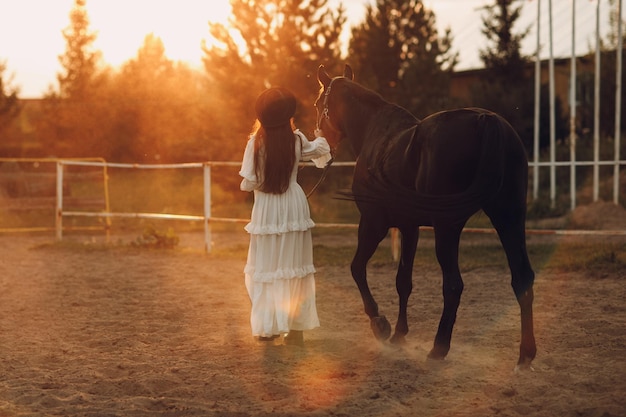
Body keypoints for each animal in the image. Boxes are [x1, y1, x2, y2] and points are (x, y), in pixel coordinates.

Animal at [314, 64, 532, 368]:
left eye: (317, 104)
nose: (321, 141)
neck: (376, 135)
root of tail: (488, 121)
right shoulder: (410, 227)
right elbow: (403, 281)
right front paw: (399, 334)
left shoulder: (373, 224)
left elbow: (357, 268)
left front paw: (380, 324)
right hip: (508, 218)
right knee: (522, 277)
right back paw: (525, 355)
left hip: (447, 227)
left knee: (453, 284)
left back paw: (439, 347)